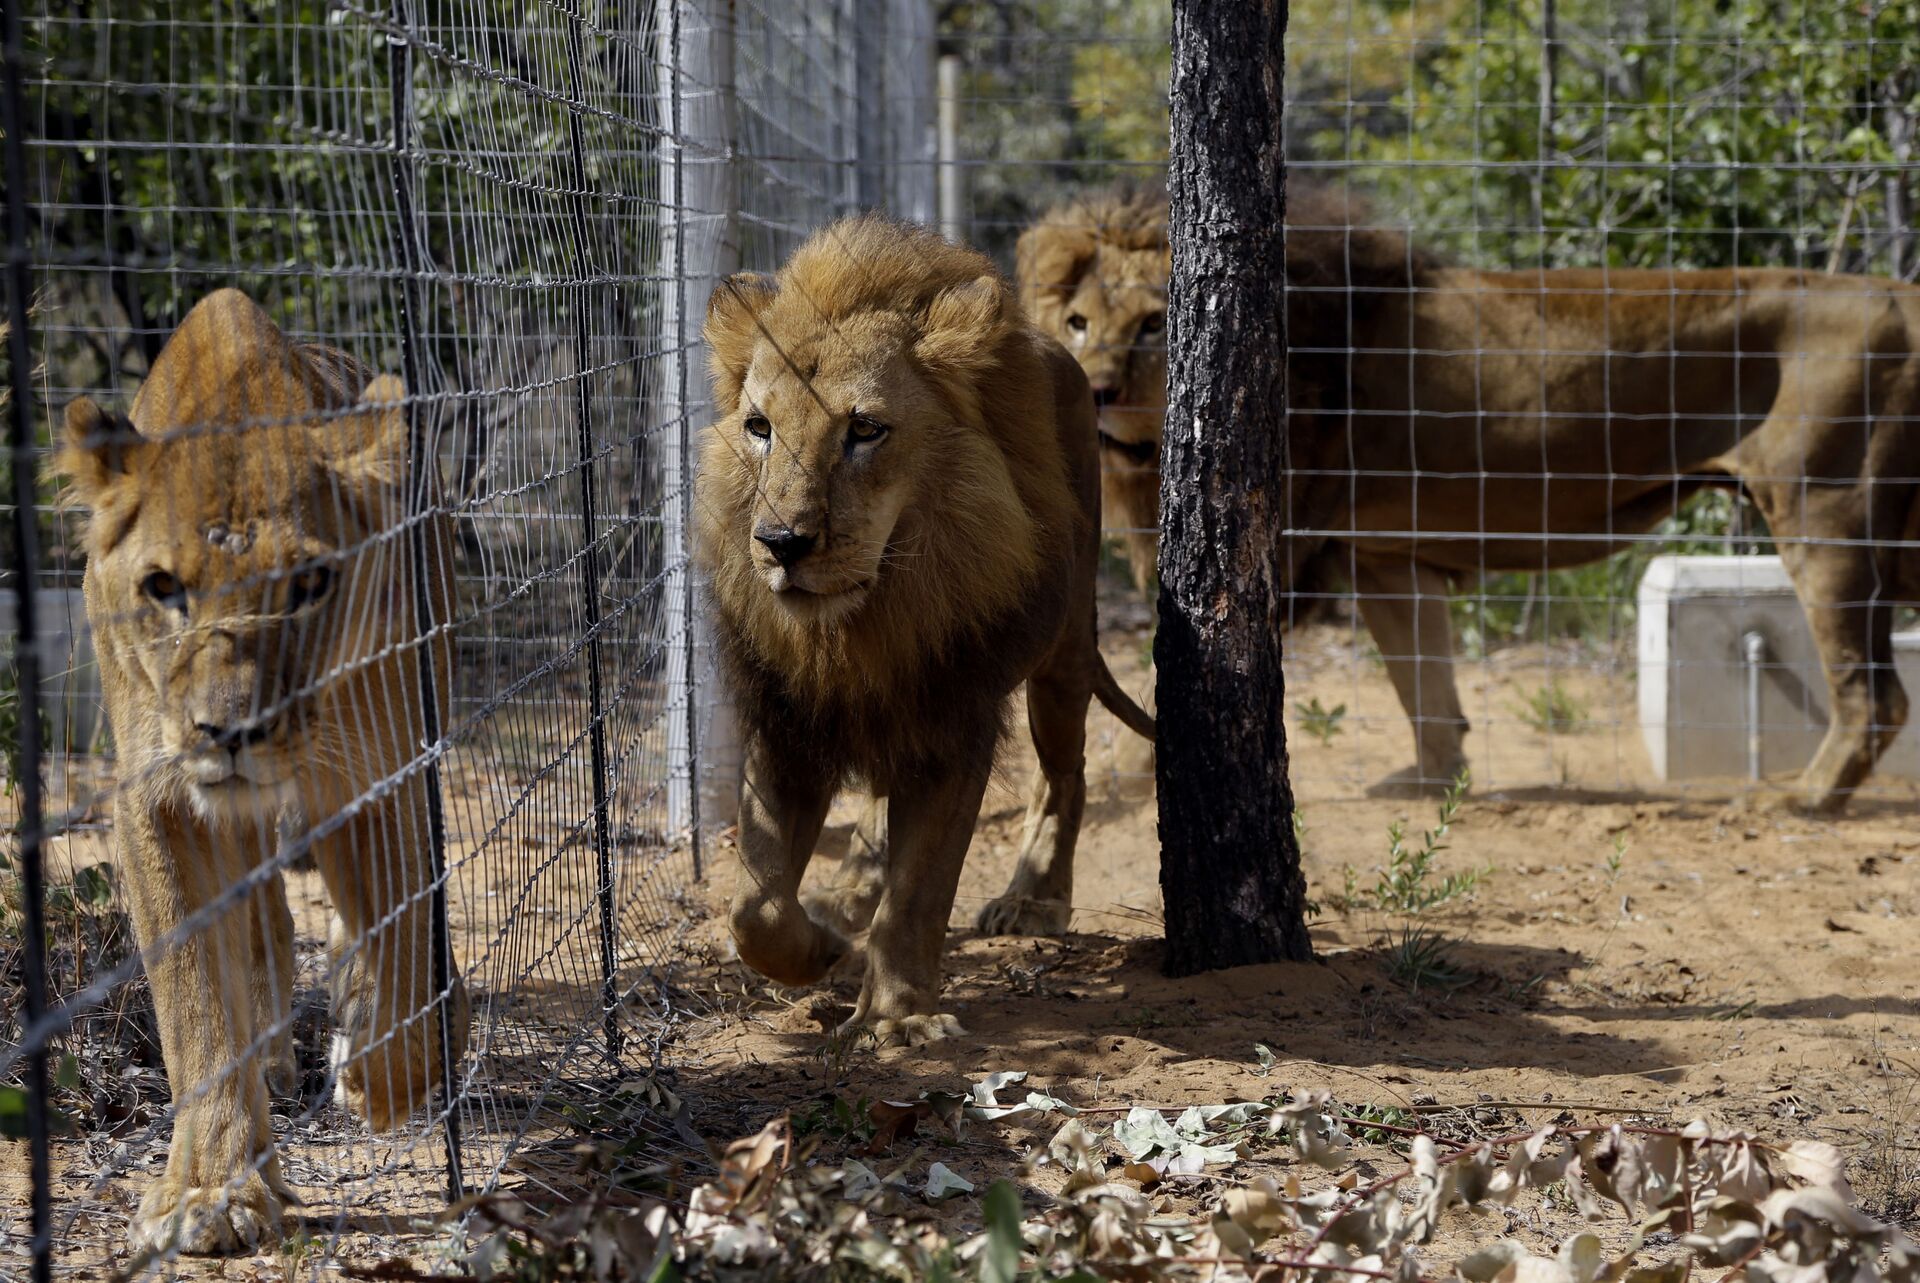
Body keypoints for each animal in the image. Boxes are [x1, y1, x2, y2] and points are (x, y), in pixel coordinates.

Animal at [60, 290, 468, 1252]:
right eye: (164, 588)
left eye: (310, 582)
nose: (230, 730)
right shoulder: (160, 798)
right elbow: (195, 999)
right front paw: (210, 1188)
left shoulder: (379, 766)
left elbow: (405, 929)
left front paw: (385, 1072)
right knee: (266, 924)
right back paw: (278, 1063)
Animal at [695, 215, 1152, 1044]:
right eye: (759, 427)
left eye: (865, 429)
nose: (780, 542)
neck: (868, 624)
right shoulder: (787, 719)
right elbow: (755, 906)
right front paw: (823, 945)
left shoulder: (952, 717)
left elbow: (919, 890)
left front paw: (895, 1017)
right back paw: (848, 891)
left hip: (1065, 647)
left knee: (1063, 774)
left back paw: (1034, 897)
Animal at [1029, 184, 1920, 810]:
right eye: (1077, 323)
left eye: (1154, 324)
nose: (1097, 391)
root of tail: (1900, 296)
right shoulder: (1382, 556)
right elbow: (1424, 683)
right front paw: (1434, 782)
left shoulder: (1280, 549)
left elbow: (1173, 686)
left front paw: (1138, 773)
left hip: (1827, 517)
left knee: (1873, 695)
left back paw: (1802, 798)